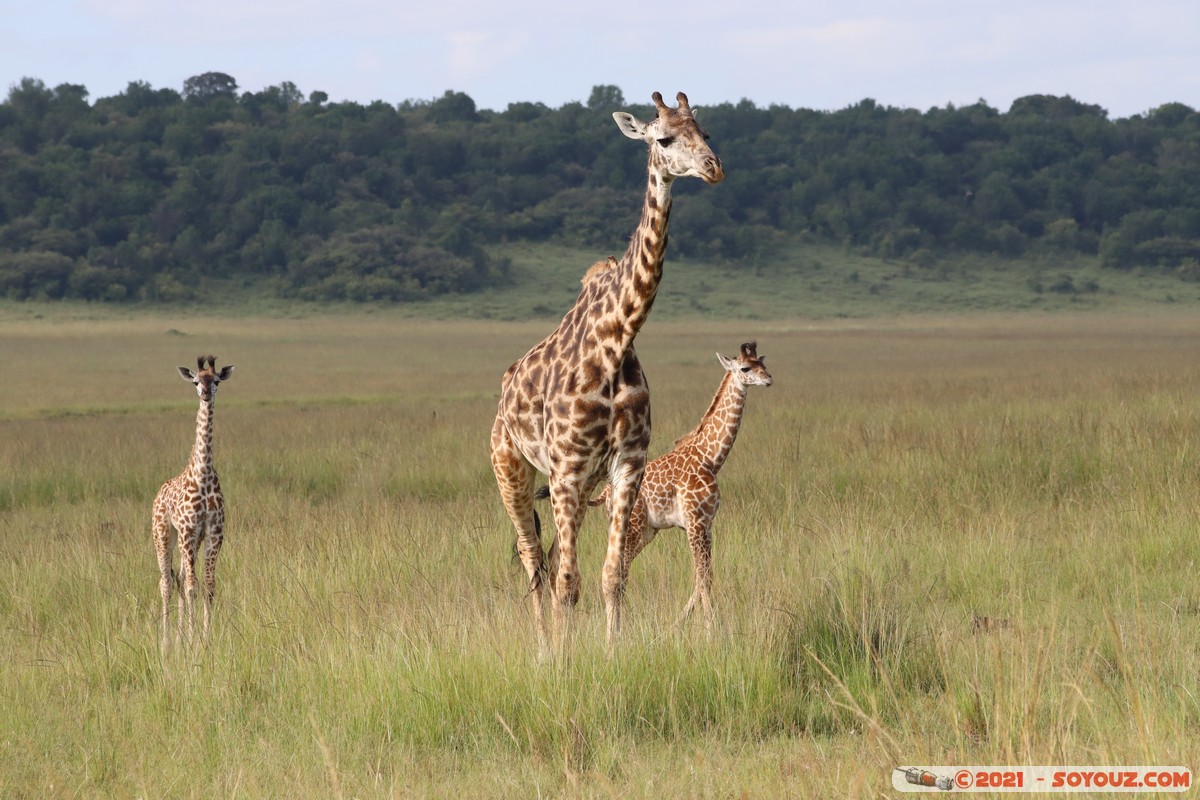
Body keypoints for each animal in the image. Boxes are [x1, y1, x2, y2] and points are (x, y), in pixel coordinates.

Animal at [487, 92, 720, 657]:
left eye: (704, 132)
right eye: (664, 138)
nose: (714, 168)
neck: (616, 340)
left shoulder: (625, 466)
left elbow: (612, 575)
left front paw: (614, 652)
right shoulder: (568, 469)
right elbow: (569, 583)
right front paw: (564, 661)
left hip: (575, 483)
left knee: (549, 560)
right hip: (512, 470)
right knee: (534, 560)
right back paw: (544, 648)